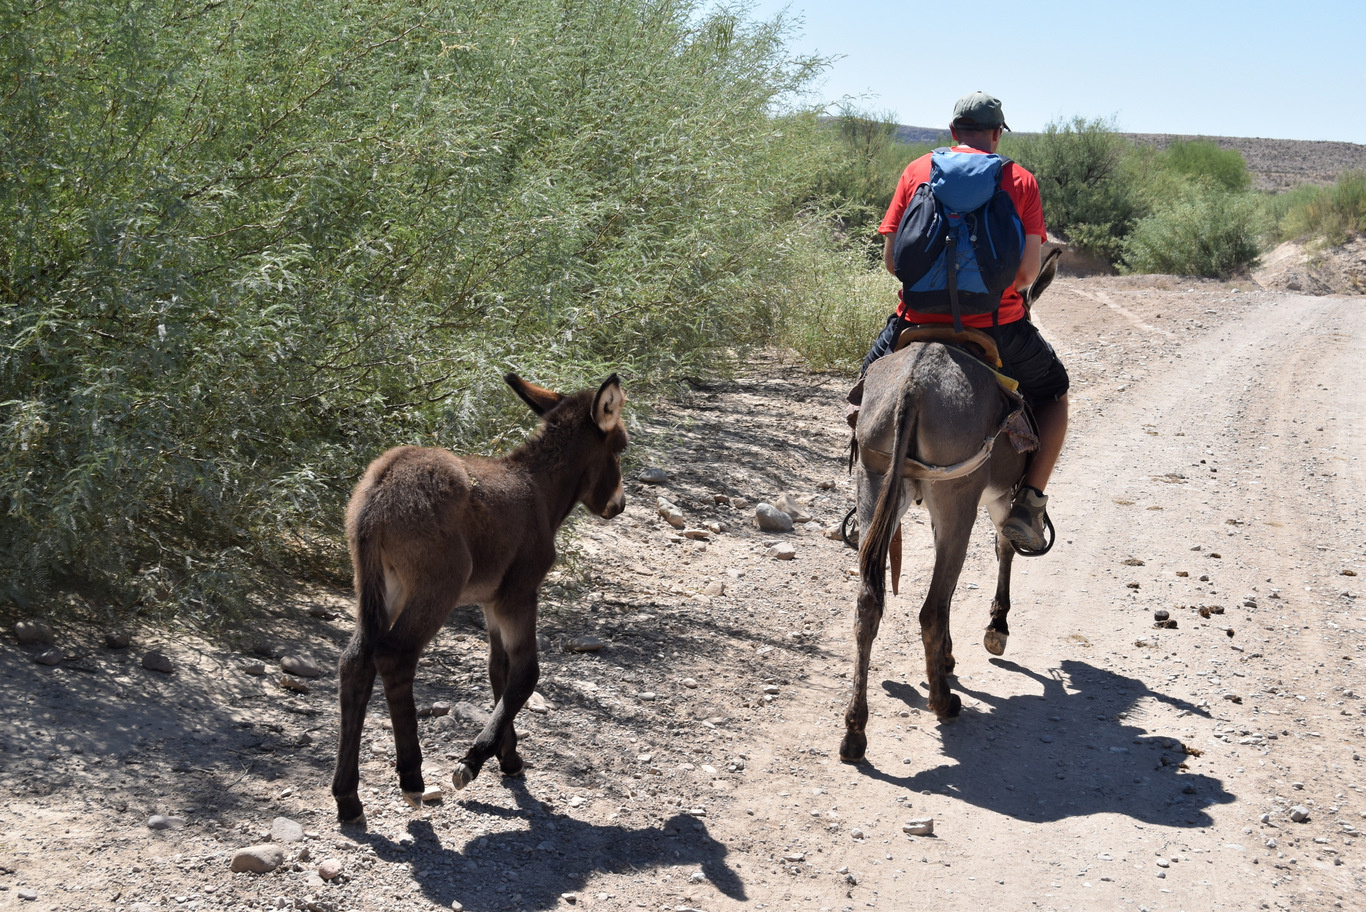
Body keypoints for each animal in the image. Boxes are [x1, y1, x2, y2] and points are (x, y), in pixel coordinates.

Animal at [330, 374, 628, 824]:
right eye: (620, 447)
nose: (619, 505)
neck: (538, 489)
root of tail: (380, 490)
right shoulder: (519, 594)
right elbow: (526, 673)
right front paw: (472, 761)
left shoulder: (491, 604)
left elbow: (498, 672)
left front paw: (509, 759)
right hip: (438, 585)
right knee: (395, 656)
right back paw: (411, 779)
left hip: (381, 584)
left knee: (356, 661)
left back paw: (347, 798)